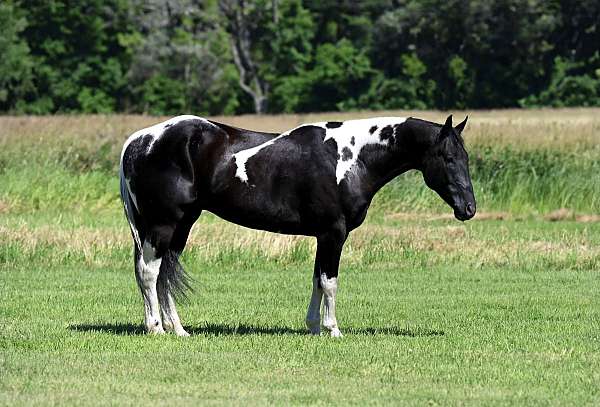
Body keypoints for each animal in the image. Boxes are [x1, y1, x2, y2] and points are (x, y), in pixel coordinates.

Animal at [120, 114, 478, 338]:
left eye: (466, 158)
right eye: (448, 158)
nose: (468, 209)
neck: (350, 158)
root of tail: (140, 140)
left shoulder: (323, 236)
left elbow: (317, 280)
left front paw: (314, 327)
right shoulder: (334, 234)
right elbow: (330, 282)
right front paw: (333, 329)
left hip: (182, 226)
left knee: (164, 273)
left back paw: (179, 329)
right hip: (163, 225)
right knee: (150, 273)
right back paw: (155, 328)